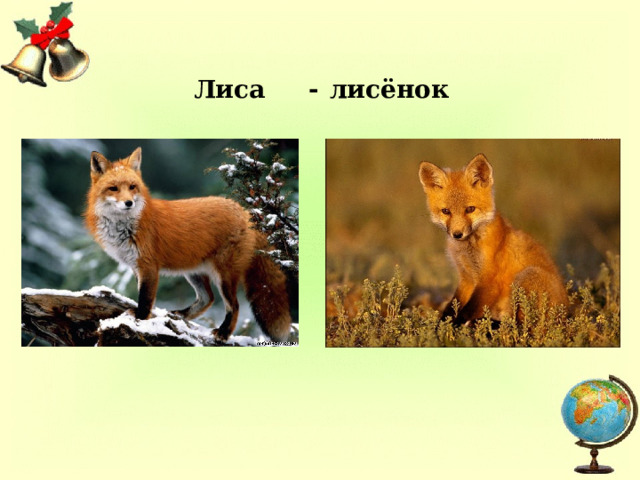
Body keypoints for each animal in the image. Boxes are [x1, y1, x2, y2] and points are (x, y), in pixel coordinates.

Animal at [85, 147, 291, 342]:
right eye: (113, 188)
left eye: (132, 186)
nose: (129, 203)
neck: (125, 227)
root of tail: (246, 212)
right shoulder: (136, 266)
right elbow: (144, 297)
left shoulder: (148, 266)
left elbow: (145, 299)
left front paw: (140, 320)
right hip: (194, 272)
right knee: (208, 299)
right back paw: (181, 315)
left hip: (224, 275)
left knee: (234, 305)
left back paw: (223, 333)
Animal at [418, 154, 568, 325]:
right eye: (446, 211)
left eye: (470, 209)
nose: (457, 234)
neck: (468, 248)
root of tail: (567, 313)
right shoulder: (466, 277)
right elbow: (451, 307)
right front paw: (442, 325)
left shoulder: (490, 280)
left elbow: (466, 312)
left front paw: (453, 327)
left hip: (527, 276)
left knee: (523, 325)